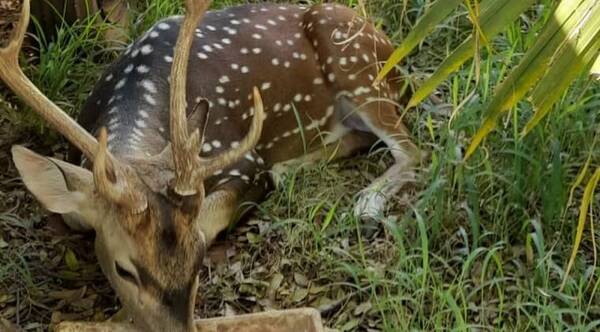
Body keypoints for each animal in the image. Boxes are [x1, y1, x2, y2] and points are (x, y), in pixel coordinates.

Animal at [0, 0, 422, 330]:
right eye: (123, 269)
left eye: (201, 258)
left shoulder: (243, 159)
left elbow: (213, 212)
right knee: (362, 139)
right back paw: (294, 169)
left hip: (359, 68)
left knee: (413, 151)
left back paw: (366, 204)